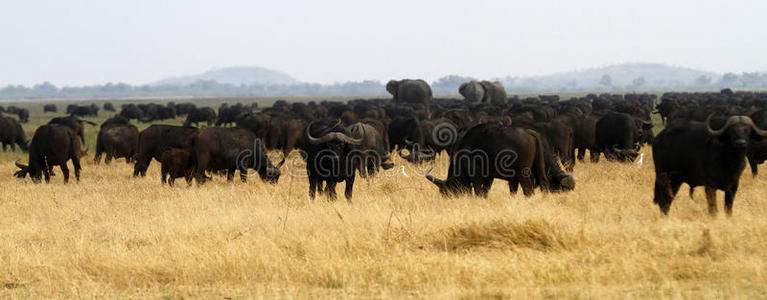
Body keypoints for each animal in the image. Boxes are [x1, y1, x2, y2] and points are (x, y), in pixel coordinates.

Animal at [426, 123, 576, 198]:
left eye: (448, 192)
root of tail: (529, 133)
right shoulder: (493, 177)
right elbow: (487, 191)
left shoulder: (476, 175)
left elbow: (478, 191)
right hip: (538, 168)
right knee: (544, 184)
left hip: (524, 173)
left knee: (528, 189)